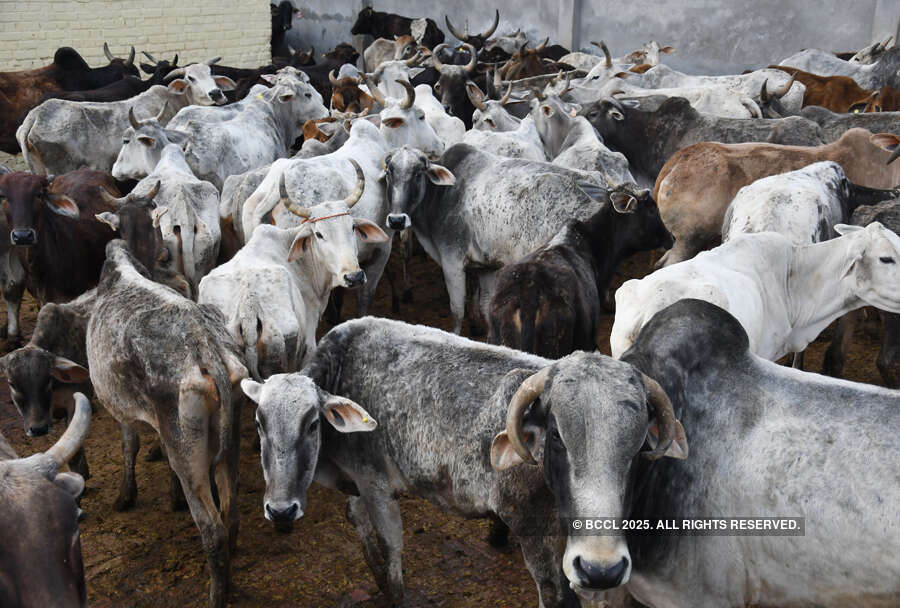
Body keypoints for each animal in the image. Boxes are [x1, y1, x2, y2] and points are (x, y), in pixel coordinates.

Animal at [87, 240, 248, 608]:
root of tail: (204, 342)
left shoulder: (122, 410)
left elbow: (129, 446)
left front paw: (125, 497)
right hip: (228, 438)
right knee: (230, 514)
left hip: (187, 452)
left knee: (213, 530)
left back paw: (216, 596)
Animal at [242, 316, 682, 607]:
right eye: (259, 424)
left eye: (312, 423)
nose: (280, 510)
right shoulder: (357, 482)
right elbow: (361, 529)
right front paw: (378, 578)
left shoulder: (375, 483)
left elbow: (391, 542)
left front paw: (395, 593)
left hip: (536, 528)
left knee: (554, 592)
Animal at [382, 144, 623, 333]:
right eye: (389, 172)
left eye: (418, 173)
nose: (396, 220)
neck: (441, 194)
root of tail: (601, 189)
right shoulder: (487, 268)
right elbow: (486, 308)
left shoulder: (452, 262)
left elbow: (457, 312)